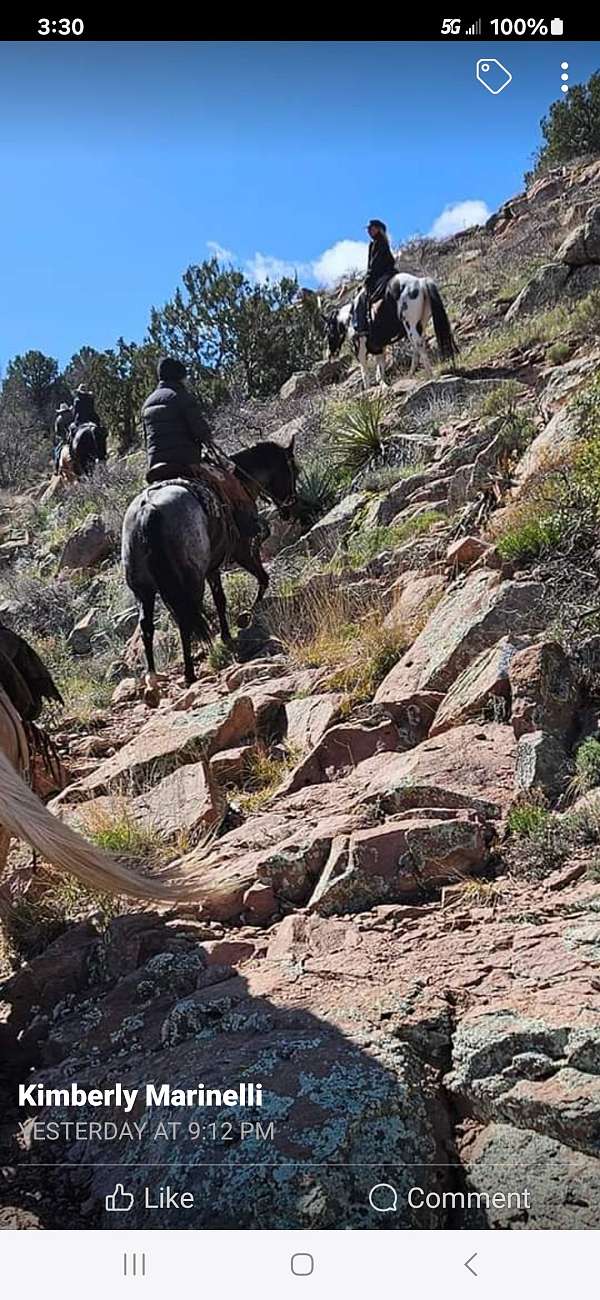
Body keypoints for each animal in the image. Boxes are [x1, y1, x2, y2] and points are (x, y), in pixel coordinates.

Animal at [122, 436, 300, 686]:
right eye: (293, 469)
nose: (291, 507)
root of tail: (148, 510)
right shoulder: (243, 550)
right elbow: (262, 578)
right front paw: (246, 616)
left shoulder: (213, 568)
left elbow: (220, 599)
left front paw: (227, 633)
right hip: (191, 580)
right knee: (186, 619)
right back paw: (189, 673)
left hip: (142, 587)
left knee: (147, 624)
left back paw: (153, 678)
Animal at [325, 275, 457, 387]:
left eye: (327, 331)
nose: (330, 354)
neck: (349, 318)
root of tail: (421, 282)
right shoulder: (379, 348)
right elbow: (381, 369)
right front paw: (383, 385)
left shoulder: (361, 350)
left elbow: (365, 373)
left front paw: (368, 390)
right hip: (420, 325)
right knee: (417, 349)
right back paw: (411, 374)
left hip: (411, 326)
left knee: (419, 348)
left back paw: (430, 376)